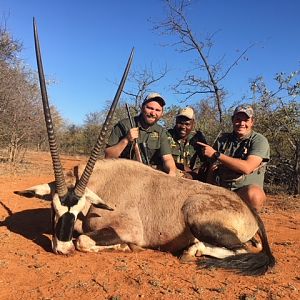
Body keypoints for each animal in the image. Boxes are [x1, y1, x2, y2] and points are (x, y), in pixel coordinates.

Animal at [15, 18, 276, 276]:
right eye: (53, 208)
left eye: (78, 210)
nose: (62, 248)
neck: (103, 183)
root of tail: (248, 210)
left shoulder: (126, 229)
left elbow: (84, 240)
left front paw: (125, 247)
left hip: (198, 217)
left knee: (244, 250)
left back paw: (191, 250)